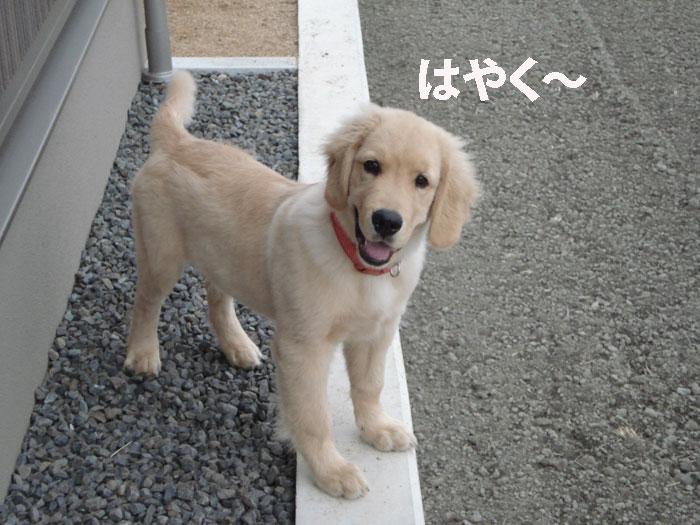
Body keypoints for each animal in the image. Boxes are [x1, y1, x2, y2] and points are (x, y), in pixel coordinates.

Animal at [124, 70, 479, 498]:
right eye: (371, 165)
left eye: (422, 181)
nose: (387, 221)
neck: (358, 269)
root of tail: (178, 142)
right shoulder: (303, 347)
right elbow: (313, 415)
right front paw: (331, 471)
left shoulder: (376, 333)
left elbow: (370, 385)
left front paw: (377, 428)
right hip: (161, 255)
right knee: (145, 303)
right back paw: (143, 354)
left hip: (221, 255)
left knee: (217, 295)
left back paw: (237, 345)